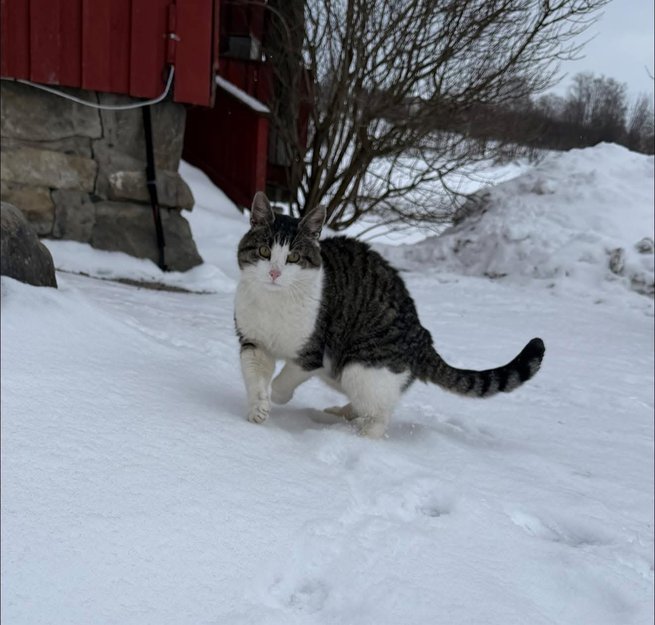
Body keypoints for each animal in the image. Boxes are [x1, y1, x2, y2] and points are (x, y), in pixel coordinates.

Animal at [234, 191, 545, 438]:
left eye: (294, 257)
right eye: (264, 251)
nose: (274, 273)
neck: (273, 302)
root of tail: (423, 337)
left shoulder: (311, 354)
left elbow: (284, 379)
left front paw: (276, 395)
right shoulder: (253, 342)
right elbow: (254, 375)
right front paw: (258, 407)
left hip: (359, 366)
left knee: (379, 415)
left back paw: (357, 436)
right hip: (343, 373)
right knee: (373, 403)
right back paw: (336, 414)